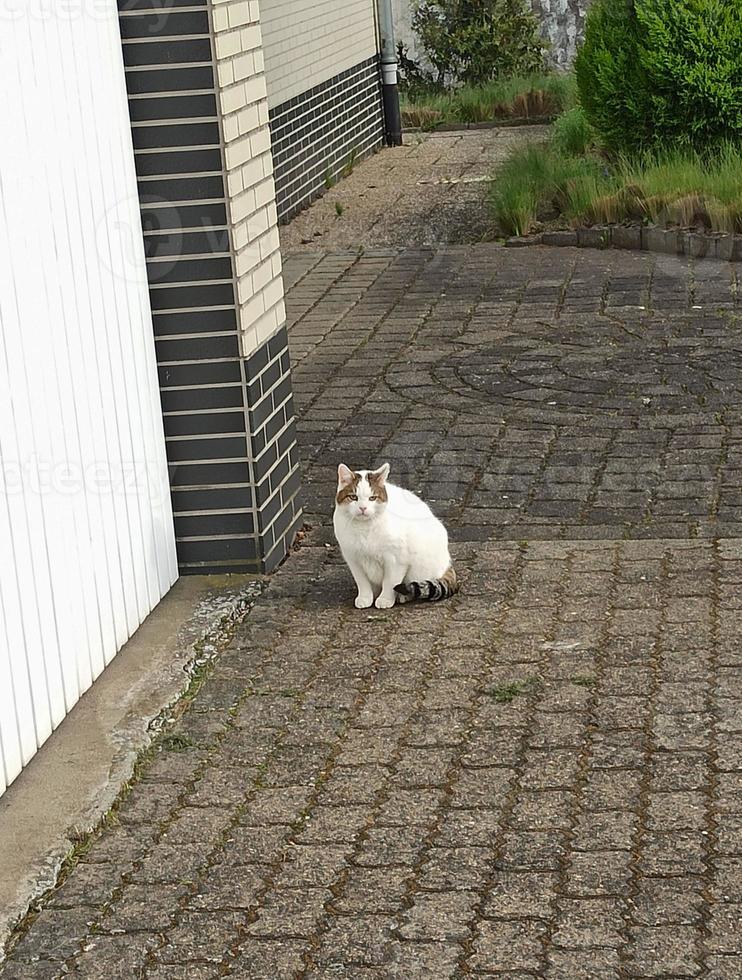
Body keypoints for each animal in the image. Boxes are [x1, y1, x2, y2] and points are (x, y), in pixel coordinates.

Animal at [332, 464, 460, 608]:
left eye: (372, 498)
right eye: (353, 497)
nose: (363, 508)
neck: (364, 528)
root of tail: (448, 563)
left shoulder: (397, 559)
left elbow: (390, 582)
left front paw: (385, 599)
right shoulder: (353, 559)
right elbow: (362, 582)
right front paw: (365, 597)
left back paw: (402, 596)